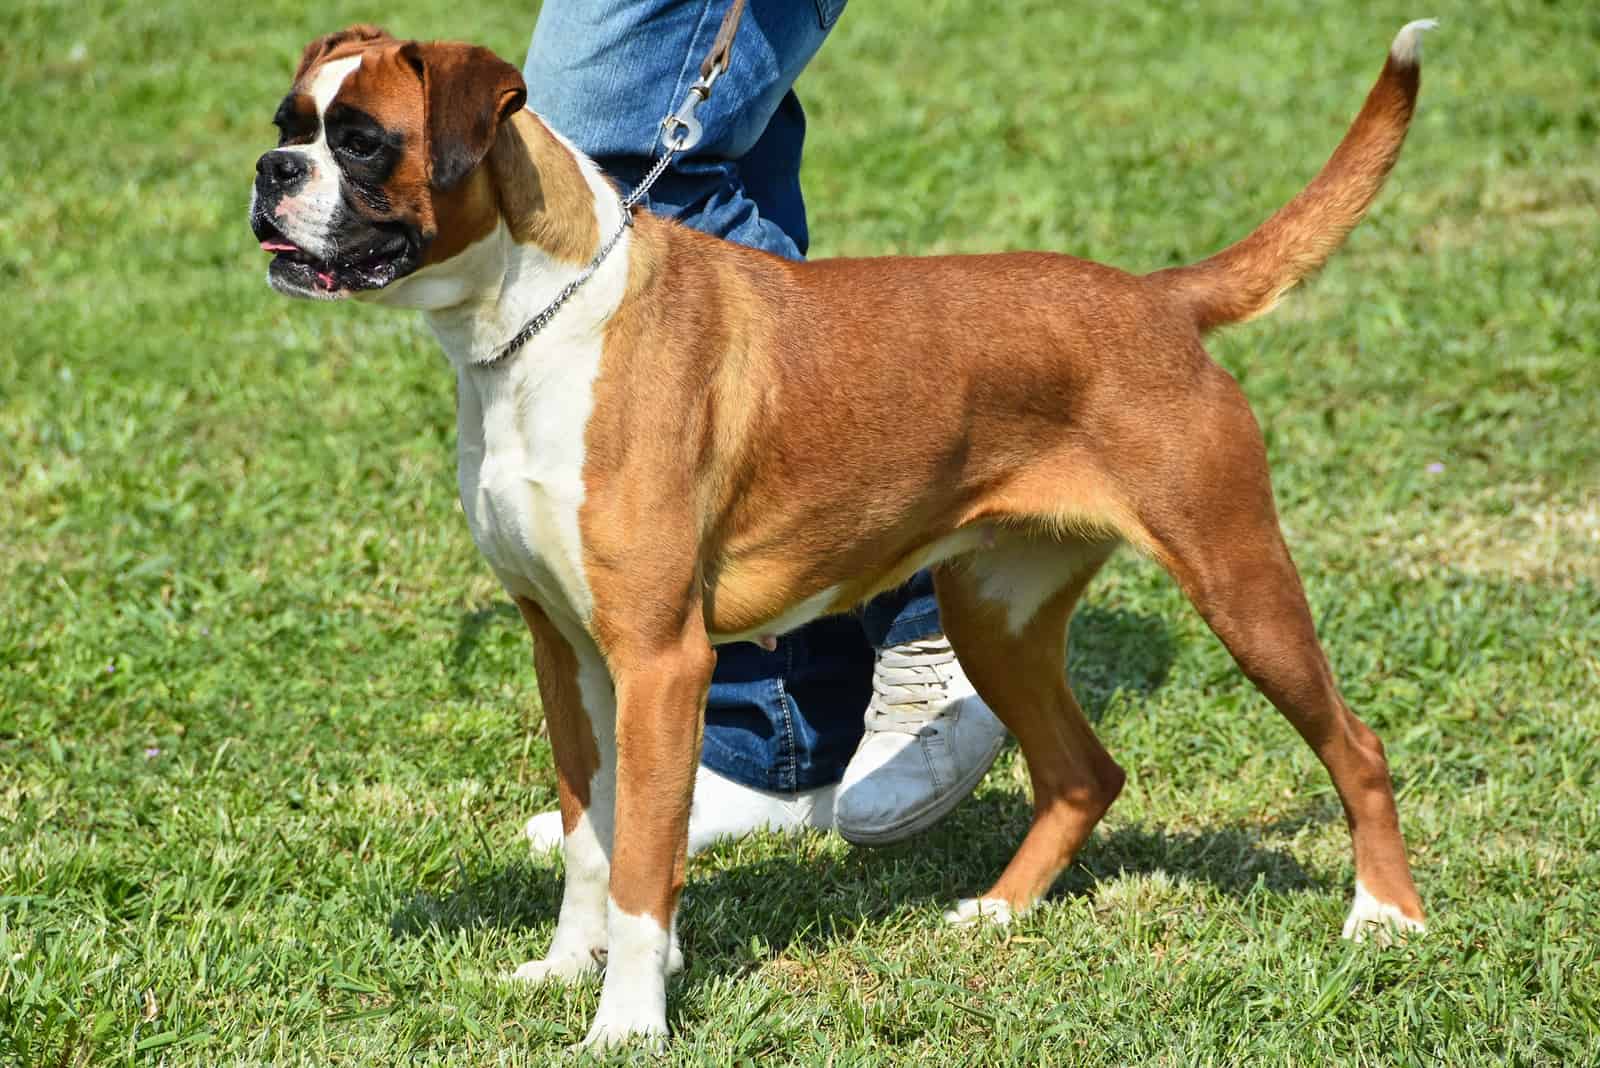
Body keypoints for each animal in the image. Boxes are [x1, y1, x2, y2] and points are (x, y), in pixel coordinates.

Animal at [249, 20, 1440, 1048]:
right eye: (288, 121)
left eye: (362, 142)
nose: (270, 172)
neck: (540, 325)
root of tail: (1157, 301)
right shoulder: (566, 653)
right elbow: (592, 839)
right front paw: (564, 968)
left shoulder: (659, 663)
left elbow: (640, 868)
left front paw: (627, 1021)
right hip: (995, 614)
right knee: (1082, 774)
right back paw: (1000, 913)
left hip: (1239, 587)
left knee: (1356, 745)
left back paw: (1386, 918)